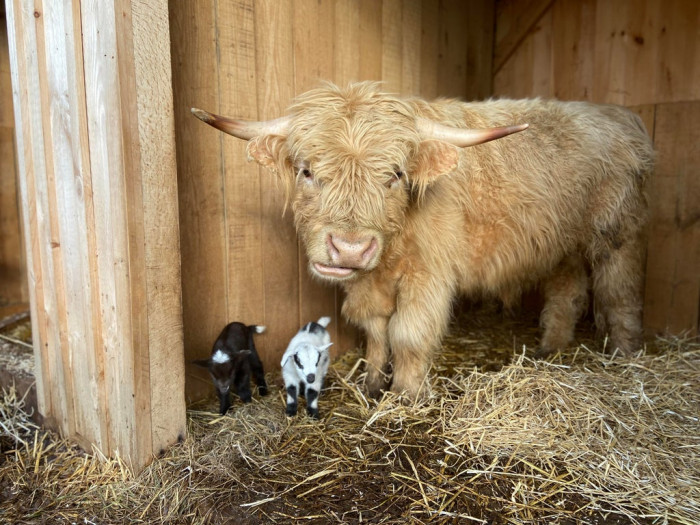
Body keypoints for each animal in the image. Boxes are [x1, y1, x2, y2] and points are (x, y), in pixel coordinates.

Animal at [193, 83, 656, 398]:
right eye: (307, 171)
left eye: (395, 175)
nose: (350, 248)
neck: (390, 251)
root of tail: (621, 117)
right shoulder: (368, 285)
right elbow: (376, 330)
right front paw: (373, 382)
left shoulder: (428, 276)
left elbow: (407, 334)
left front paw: (405, 394)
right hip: (563, 243)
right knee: (567, 293)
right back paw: (551, 349)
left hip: (619, 232)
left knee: (619, 293)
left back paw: (625, 355)